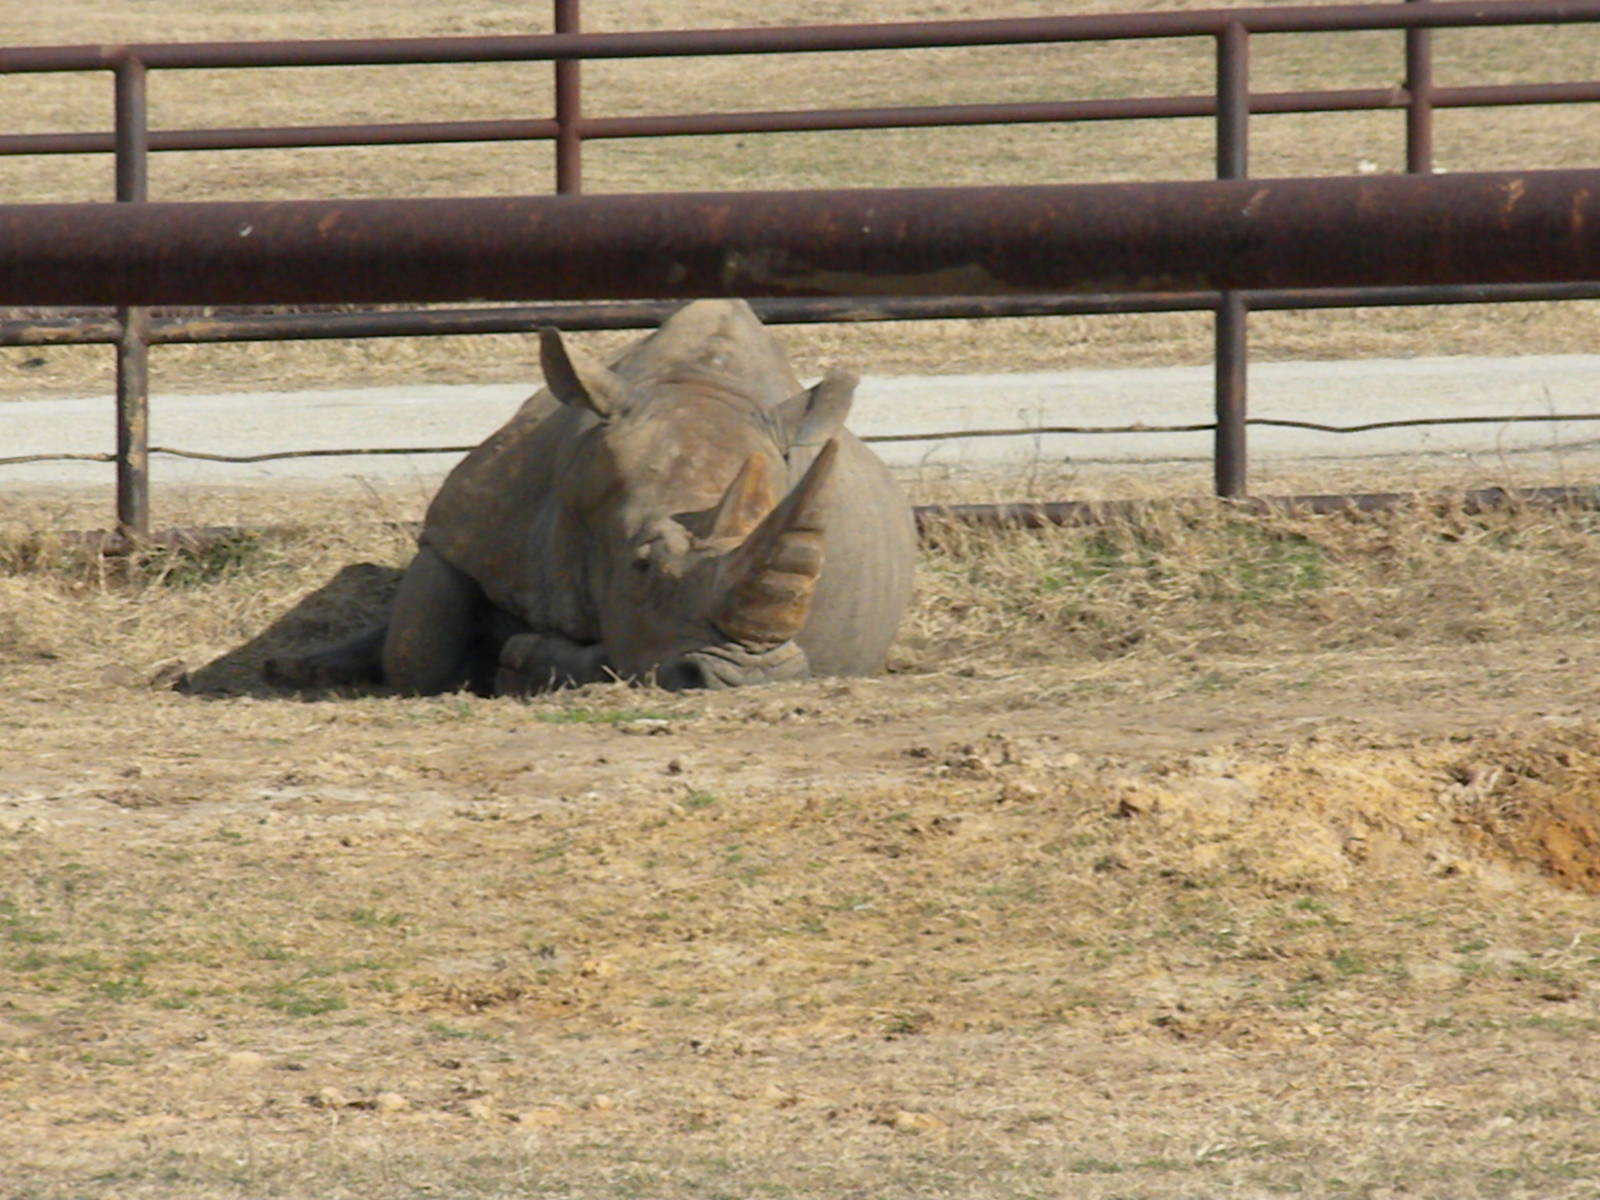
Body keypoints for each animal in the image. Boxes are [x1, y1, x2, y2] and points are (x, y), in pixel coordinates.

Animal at [268, 299, 916, 694]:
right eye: (641, 564)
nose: (747, 678)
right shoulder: (466, 529)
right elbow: (419, 649)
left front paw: (518, 658)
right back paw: (300, 668)